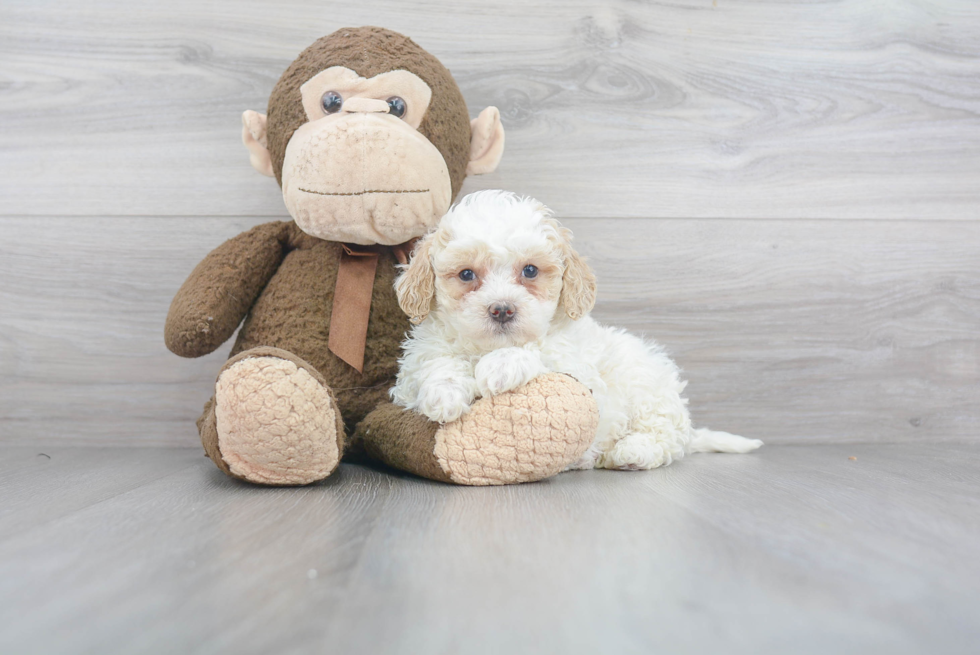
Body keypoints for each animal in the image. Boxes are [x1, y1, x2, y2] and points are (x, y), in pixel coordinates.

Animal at [388, 190, 756, 472]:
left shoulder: (577, 366)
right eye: (466, 274)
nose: (502, 309)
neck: (487, 346)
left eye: (530, 270)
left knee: (666, 437)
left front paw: (502, 365)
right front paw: (443, 394)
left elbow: (540, 351)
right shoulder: (417, 364)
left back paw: (633, 451)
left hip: (646, 383)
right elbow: (438, 362)